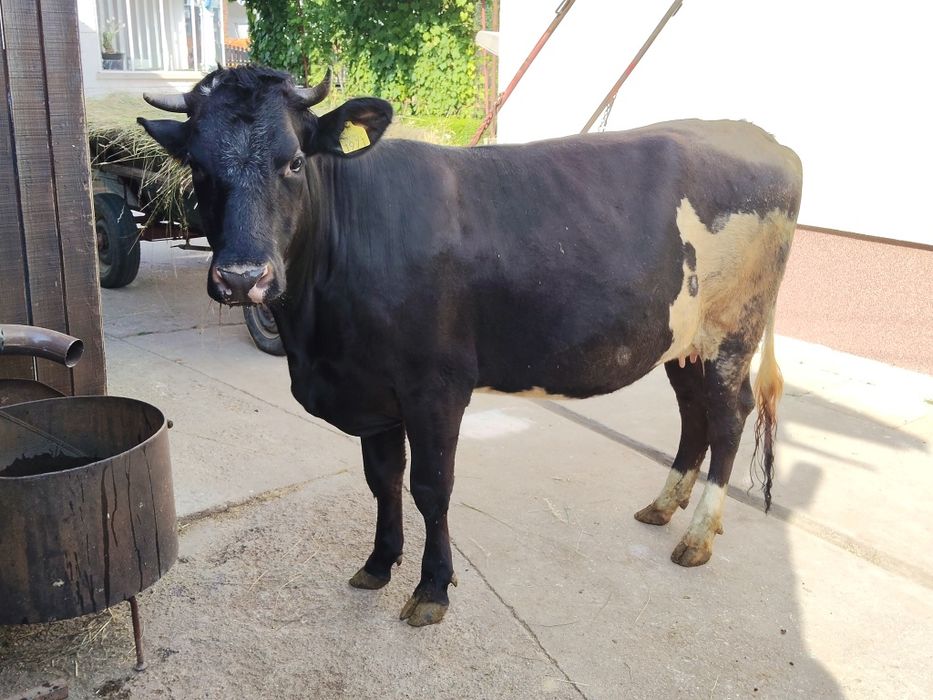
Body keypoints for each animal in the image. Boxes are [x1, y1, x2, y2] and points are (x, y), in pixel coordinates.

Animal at [140, 66, 802, 627]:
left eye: (295, 161)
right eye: (198, 166)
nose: (242, 277)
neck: (317, 338)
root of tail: (766, 140)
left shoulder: (435, 387)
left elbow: (431, 488)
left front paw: (432, 588)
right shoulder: (373, 392)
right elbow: (382, 480)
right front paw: (378, 564)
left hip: (731, 333)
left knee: (728, 417)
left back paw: (697, 537)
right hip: (681, 339)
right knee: (694, 415)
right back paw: (663, 507)